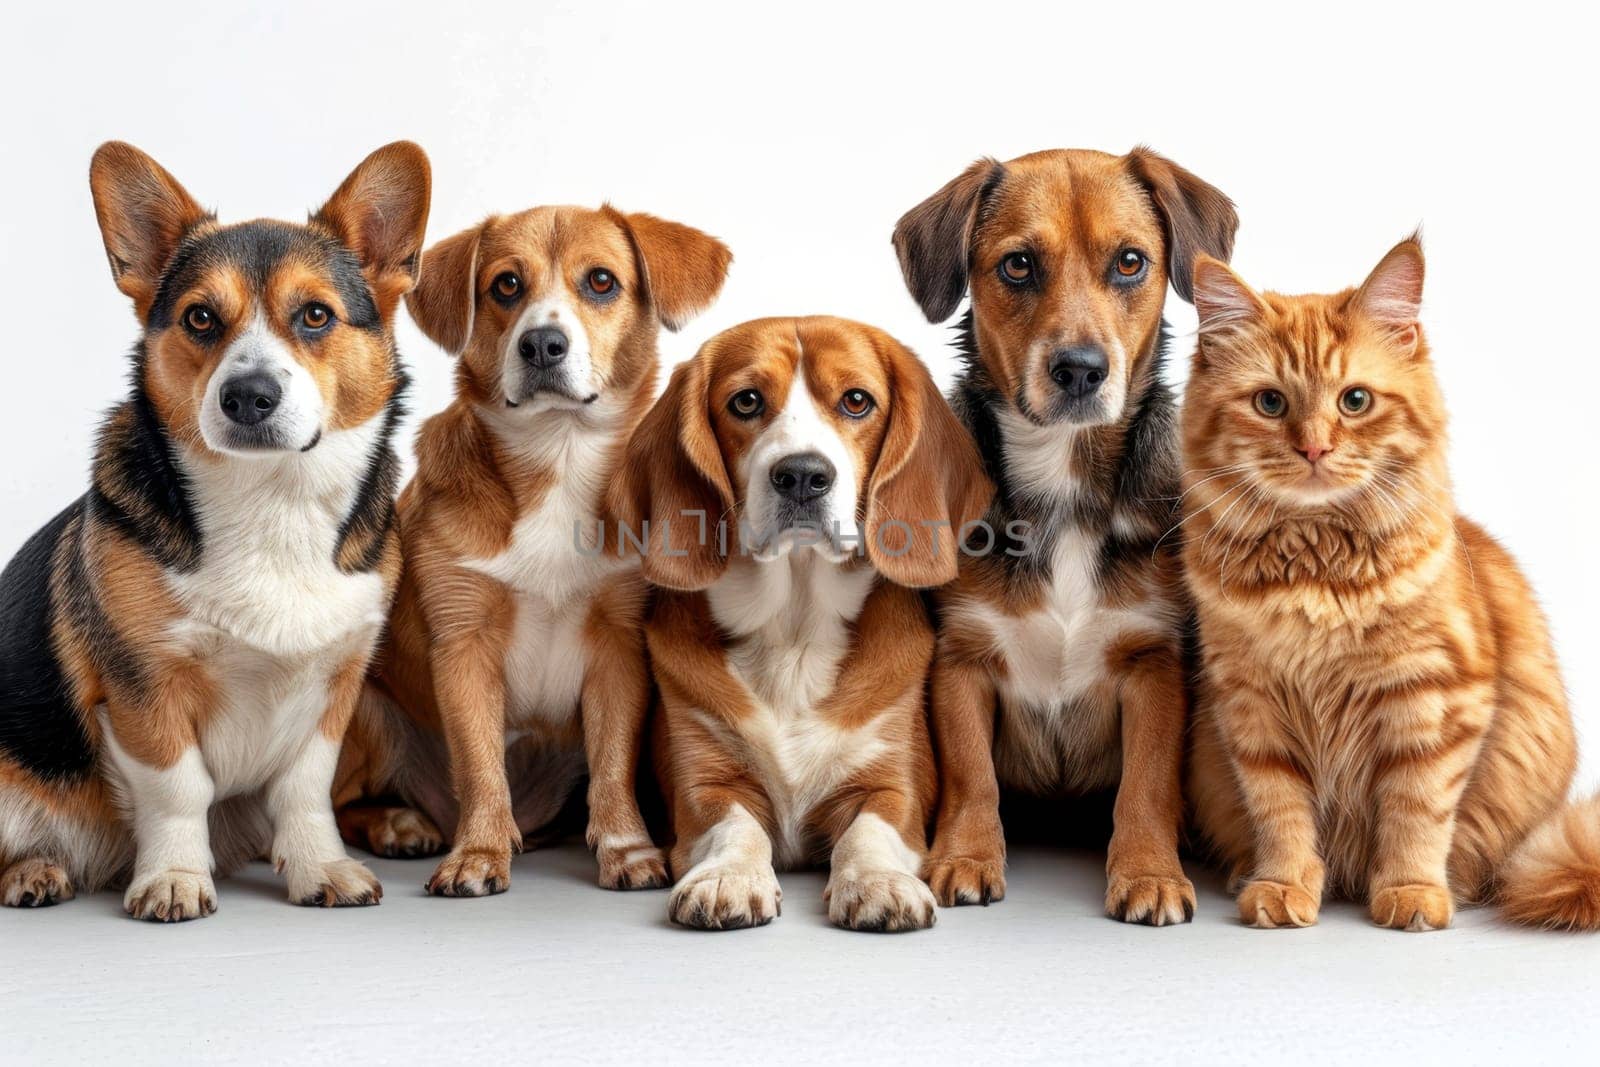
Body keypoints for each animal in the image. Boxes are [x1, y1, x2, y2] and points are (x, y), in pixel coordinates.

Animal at [0, 139, 428, 921]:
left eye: (315, 315)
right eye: (200, 318)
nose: (248, 396)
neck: (271, 501)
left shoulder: (337, 686)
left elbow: (306, 790)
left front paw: (321, 867)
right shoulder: (146, 686)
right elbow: (179, 788)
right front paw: (174, 877)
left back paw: (395, 822)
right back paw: (34, 869)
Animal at [337, 202, 736, 902]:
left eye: (601, 281)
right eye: (505, 286)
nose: (543, 344)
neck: (560, 455)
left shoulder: (617, 647)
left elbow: (612, 765)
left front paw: (627, 849)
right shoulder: (464, 645)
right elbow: (479, 765)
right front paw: (478, 854)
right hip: (366, 707)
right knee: (342, 806)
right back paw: (398, 823)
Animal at [608, 316, 985, 934]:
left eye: (856, 400)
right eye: (746, 401)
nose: (802, 475)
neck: (793, 634)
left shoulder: (897, 784)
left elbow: (868, 831)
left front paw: (877, 882)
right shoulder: (701, 783)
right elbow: (735, 825)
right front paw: (728, 878)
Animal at [889, 146, 1235, 921]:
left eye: (1131, 262)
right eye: (1018, 265)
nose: (1080, 370)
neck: (1066, 490)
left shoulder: (1153, 665)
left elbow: (1145, 786)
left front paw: (1148, 871)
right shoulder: (962, 661)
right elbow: (972, 776)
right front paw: (967, 855)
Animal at [1177, 238, 1600, 927]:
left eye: (1355, 401)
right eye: (1270, 403)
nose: (1314, 449)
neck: (1316, 572)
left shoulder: (1434, 698)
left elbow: (1415, 813)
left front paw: (1410, 892)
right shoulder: (1251, 705)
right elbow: (1281, 813)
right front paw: (1284, 886)